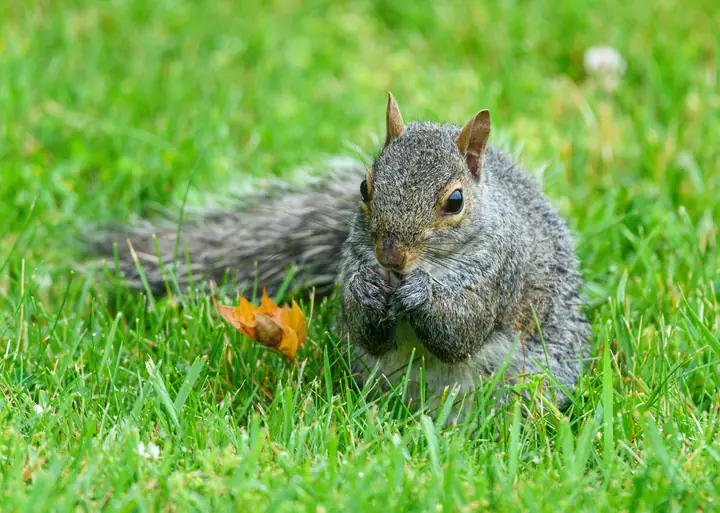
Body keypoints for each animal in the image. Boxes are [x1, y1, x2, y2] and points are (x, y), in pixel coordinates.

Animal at [92, 93, 590, 415]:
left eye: (455, 201)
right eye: (365, 187)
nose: (390, 258)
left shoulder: (501, 270)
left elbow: (462, 331)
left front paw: (423, 294)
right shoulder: (353, 257)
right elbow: (368, 329)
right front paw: (365, 289)